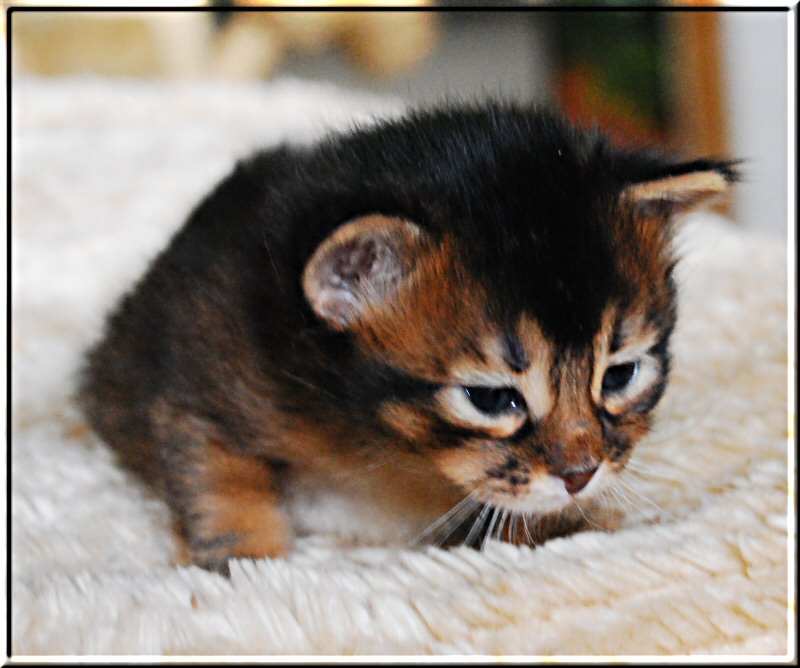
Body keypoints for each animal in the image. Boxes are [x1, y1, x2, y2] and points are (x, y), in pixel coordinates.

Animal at [79, 102, 736, 572]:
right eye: (492, 399)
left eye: (620, 375)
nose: (581, 474)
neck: (379, 440)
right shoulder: (200, 369)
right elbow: (220, 481)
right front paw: (244, 565)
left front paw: (583, 523)